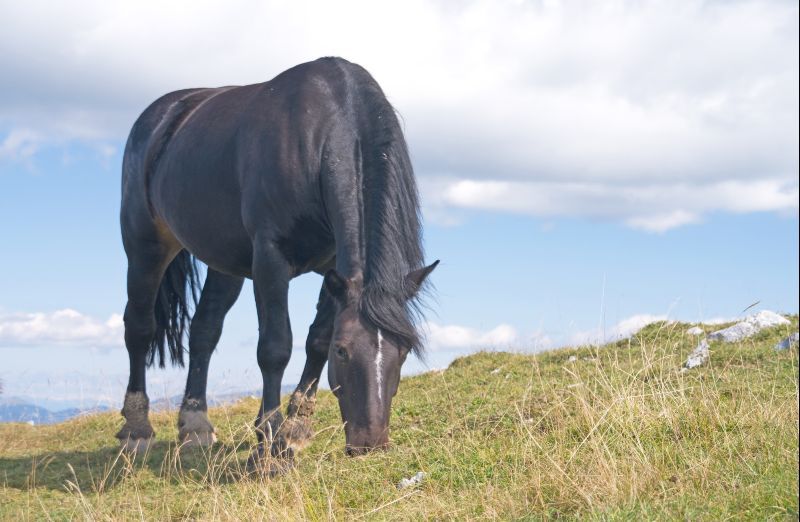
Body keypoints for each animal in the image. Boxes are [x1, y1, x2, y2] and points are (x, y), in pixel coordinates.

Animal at [117, 58, 438, 468]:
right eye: (343, 351)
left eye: (404, 351)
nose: (370, 444)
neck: (316, 138)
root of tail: (164, 114)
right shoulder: (270, 260)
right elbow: (275, 347)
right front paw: (269, 444)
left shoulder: (335, 270)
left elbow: (315, 340)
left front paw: (296, 429)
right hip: (145, 246)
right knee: (139, 327)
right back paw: (136, 431)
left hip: (225, 263)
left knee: (204, 330)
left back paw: (195, 426)